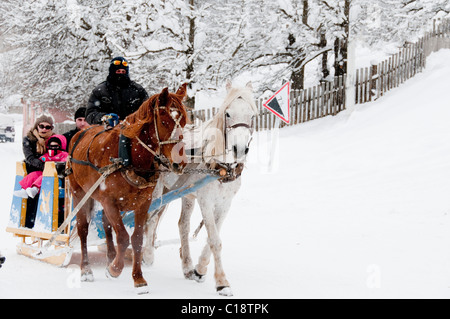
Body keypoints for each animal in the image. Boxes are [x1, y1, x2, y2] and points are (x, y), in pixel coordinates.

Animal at [67, 84, 188, 294]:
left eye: (185, 120)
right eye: (165, 121)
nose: (180, 163)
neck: (129, 157)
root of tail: (78, 135)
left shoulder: (143, 203)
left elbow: (137, 239)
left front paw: (138, 278)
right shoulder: (109, 201)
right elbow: (123, 237)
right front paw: (115, 269)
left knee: (105, 224)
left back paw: (110, 256)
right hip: (79, 193)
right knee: (83, 229)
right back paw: (86, 269)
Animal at [144, 81, 256, 296]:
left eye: (252, 115)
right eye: (227, 114)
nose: (239, 149)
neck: (221, 167)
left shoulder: (225, 204)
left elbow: (213, 237)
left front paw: (200, 269)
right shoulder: (205, 200)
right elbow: (214, 240)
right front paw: (222, 282)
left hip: (183, 194)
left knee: (182, 225)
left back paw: (187, 267)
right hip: (157, 190)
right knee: (150, 220)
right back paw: (147, 255)